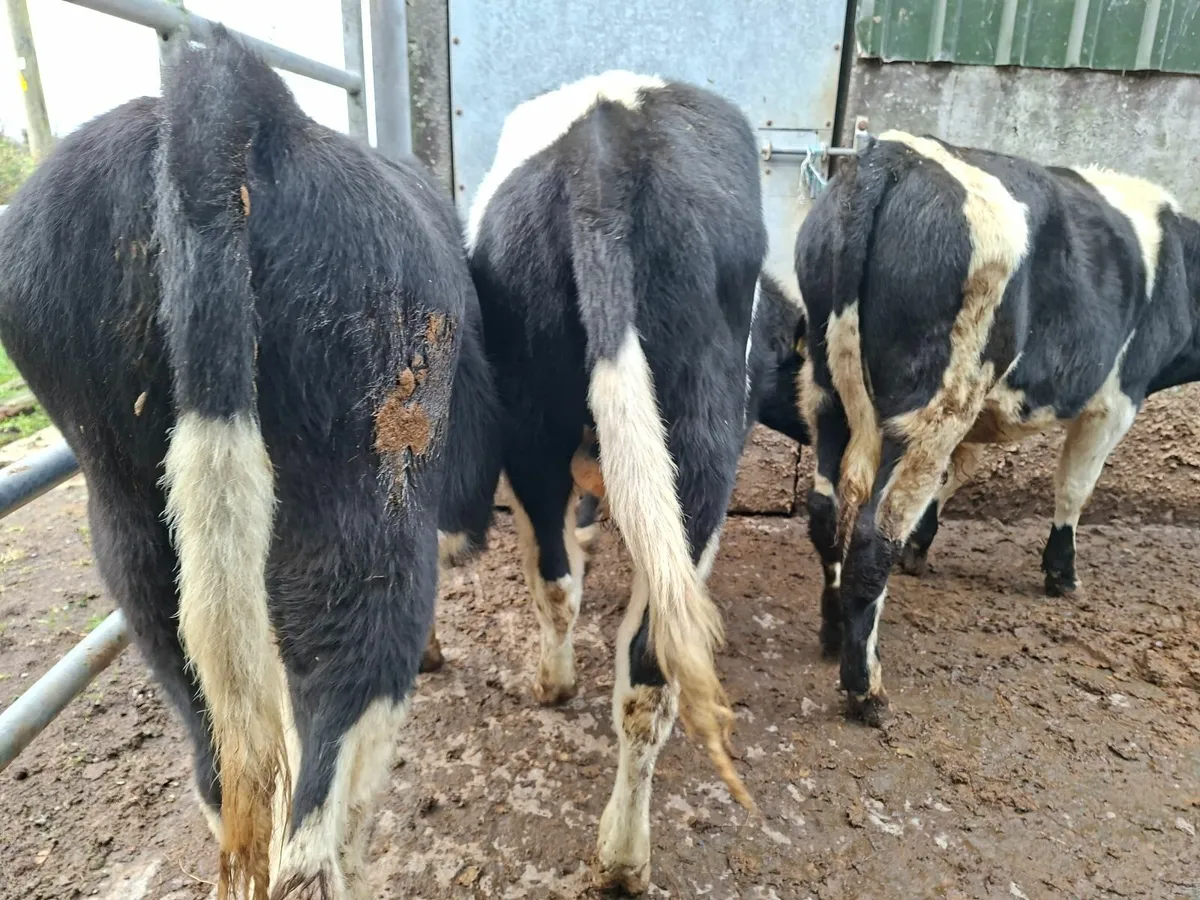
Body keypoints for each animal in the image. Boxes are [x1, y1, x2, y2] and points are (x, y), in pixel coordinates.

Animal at [441, 70, 769, 892]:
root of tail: (605, 154)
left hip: (534, 424)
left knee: (571, 594)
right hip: (697, 439)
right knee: (651, 659)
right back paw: (622, 852)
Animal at [795, 129, 1200, 726]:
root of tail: (891, 155)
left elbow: (958, 476)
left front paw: (923, 547)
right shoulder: (1116, 399)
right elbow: (1075, 488)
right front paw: (1061, 575)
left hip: (825, 388)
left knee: (826, 512)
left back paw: (830, 635)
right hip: (937, 400)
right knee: (872, 536)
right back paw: (866, 691)